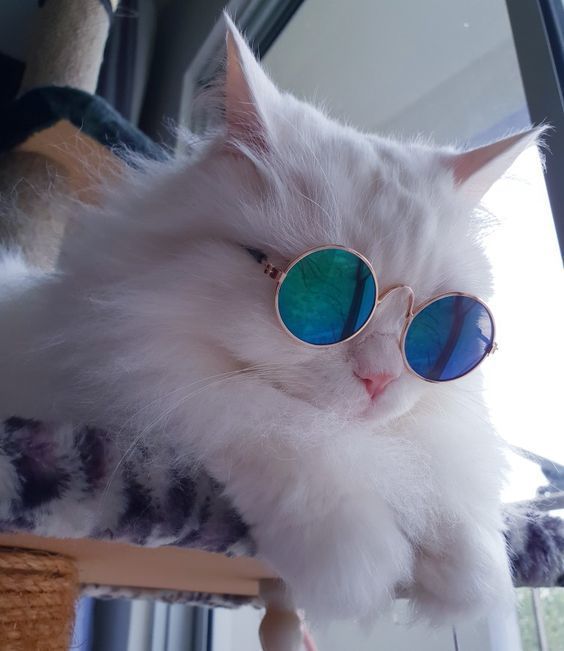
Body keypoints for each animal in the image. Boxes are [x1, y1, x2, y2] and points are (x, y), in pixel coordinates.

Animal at [0, 15, 536, 620]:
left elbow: (451, 491)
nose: (380, 378)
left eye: (439, 327)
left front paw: (479, 571)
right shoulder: (145, 377)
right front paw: (361, 568)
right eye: (323, 293)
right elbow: (278, 432)